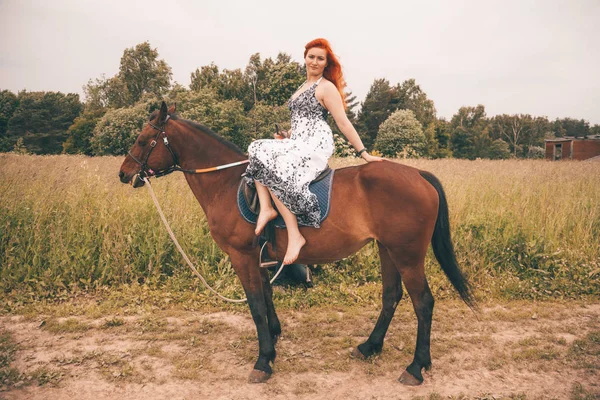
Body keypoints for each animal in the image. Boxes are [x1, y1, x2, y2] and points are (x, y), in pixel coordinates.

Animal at [118, 101, 474, 386]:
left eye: (143, 140)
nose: (124, 173)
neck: (227, 184)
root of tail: (418, 174)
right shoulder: (259, 257)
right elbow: (266, 297)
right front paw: (274, 339)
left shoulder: (242, 256)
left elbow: (255, 305)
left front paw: (263, 360)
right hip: (388, 250)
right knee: (391, 296)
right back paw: (370, 346)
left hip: (408, 254)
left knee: (423, 303)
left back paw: (416, 367)